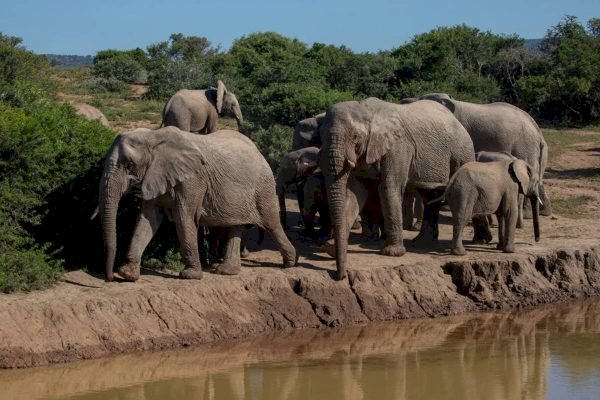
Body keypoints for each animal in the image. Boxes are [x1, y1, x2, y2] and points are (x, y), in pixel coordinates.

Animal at [99, 126, 296, 282]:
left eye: (129, 165)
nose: (110, 278)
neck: (153, 137)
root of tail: (259, 152)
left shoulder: (192, 180)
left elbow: (184, 219)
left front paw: (190, 276)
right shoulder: (154, 176)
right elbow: (148, 219)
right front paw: (127, 274)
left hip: (263, 187)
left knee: (271, 223)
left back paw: (290, 263)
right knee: (235, 227)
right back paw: (226, 271)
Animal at [322, 98, 476, 280]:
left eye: (355, 137)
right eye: (321, 137)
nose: (341, 275)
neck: (367, 110)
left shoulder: (398, 147)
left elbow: (389, 188)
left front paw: (392, 253)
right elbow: (356, 193)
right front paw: (330, 248)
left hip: (462, 151)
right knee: (429, 196)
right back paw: (421, 243)